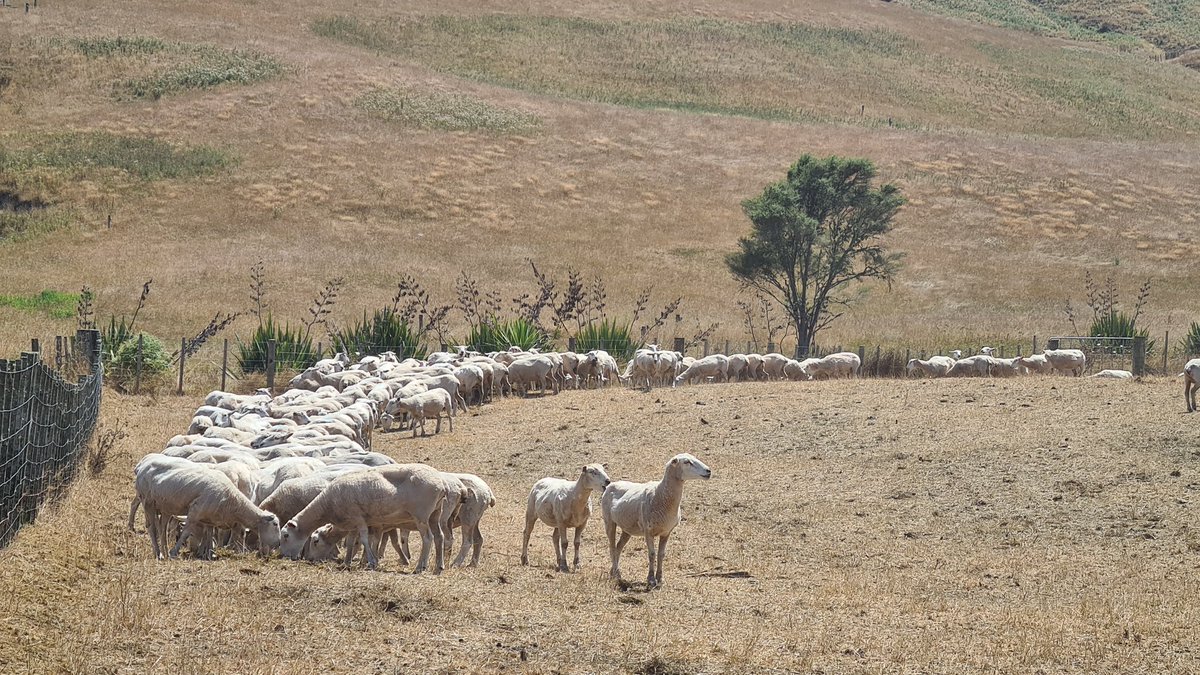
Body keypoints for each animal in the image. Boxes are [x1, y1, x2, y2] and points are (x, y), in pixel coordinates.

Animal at [278, 464, 448, 572]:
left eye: (285, 535)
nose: (284, 556)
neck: (327, 505)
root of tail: (441, 484)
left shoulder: (359, 519)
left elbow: (365, 540)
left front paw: (371, 562)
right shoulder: (353, 523)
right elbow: (353, 542)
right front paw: (348, 562)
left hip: (421, 515)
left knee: (428, 538)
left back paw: (420, 567)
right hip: (435, 514)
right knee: (439, 536)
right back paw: (439, 566)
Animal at [602, 453, 711, 588]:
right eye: (687, 462)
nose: (708, 471)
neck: (661, 495)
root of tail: (612, 484)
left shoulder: (666, 532)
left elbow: (661, 554)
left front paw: (659, 578)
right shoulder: (648, 531)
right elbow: (652, 554)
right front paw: (651, 579)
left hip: (627, 529)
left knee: (618, 547)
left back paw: (614, 572)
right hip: (609, 522)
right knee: (612, 547)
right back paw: (616, 574)